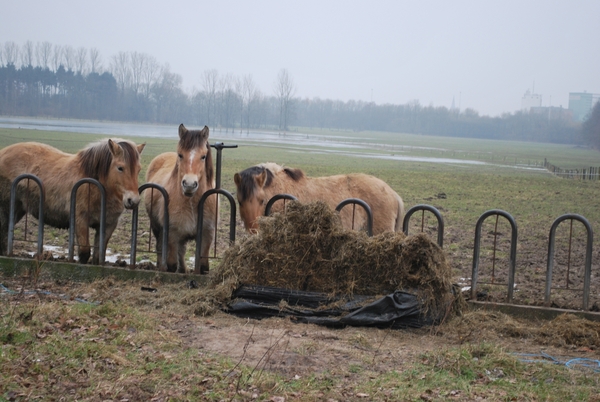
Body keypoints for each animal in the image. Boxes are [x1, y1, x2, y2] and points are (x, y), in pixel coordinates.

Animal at [0, 138, 145, 264]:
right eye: (120, 168)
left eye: (139, 169)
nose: (133, 200)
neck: (94, 185)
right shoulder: (80, 221)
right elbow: (84, 253)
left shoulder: (108, 225)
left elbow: (98, 256)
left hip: (18, 210)